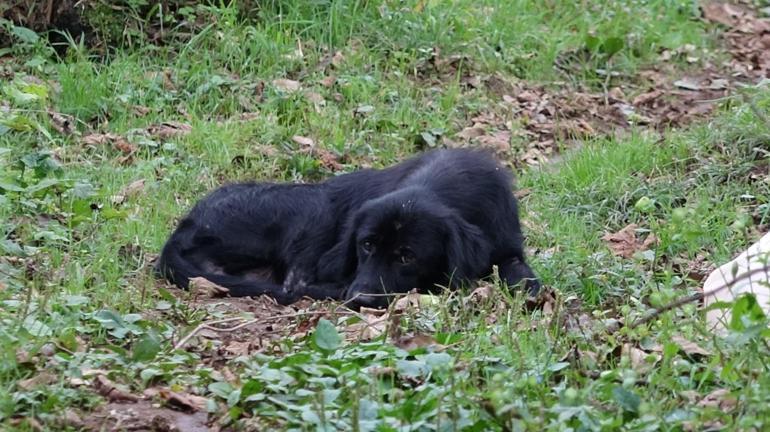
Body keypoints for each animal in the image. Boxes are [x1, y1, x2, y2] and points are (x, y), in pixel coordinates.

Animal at [155, 148, 536, 308]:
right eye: (366, 245)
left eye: (407, 256)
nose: (360, 300)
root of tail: (182, 230)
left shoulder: (507, 244)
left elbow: (521, 272)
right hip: (312, 203)